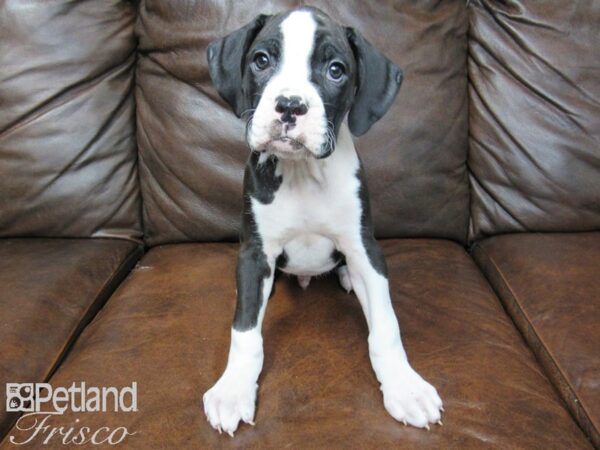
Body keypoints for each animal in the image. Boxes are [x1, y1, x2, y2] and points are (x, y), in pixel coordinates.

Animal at [204, 6, 442, 436]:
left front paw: (405, 387)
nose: (290, 106)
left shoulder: (365, 250)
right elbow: (245, 332)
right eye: (261, 60)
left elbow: (387, 326)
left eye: (336, 70)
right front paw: (233, 390)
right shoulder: (254, 255)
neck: (302, 174)